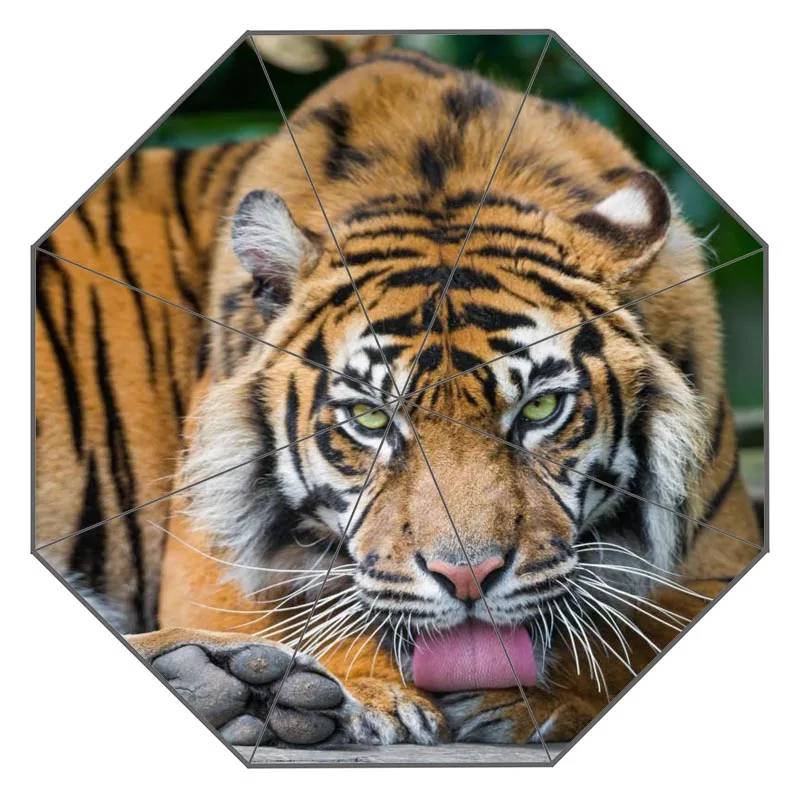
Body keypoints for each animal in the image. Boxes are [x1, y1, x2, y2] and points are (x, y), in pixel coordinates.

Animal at [35, 47, 762, 751]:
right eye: (369, 418)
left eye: (538, 410)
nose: (469, 578)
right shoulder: (212, 567)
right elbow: (303, 616)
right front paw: (366, 693)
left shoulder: (716, 562)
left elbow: (645, 633)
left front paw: (532, 701)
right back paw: (233, 683)